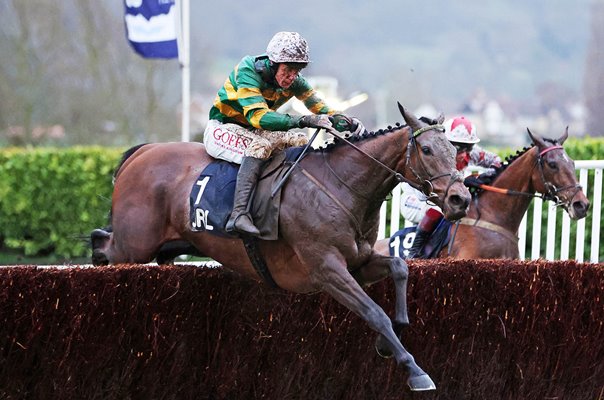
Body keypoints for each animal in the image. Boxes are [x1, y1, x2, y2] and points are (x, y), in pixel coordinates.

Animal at [89, 104, 472, 392]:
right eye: (427, 150)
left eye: (455, 151)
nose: (460, 199)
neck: (342, 185)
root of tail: (144, 150)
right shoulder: (326, 268)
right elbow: (374, 312)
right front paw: (414, 370)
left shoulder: (358, 261)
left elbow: (399, 268)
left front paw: (388, 340)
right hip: (134, 244)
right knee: (104, 248)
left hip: (170, 244)